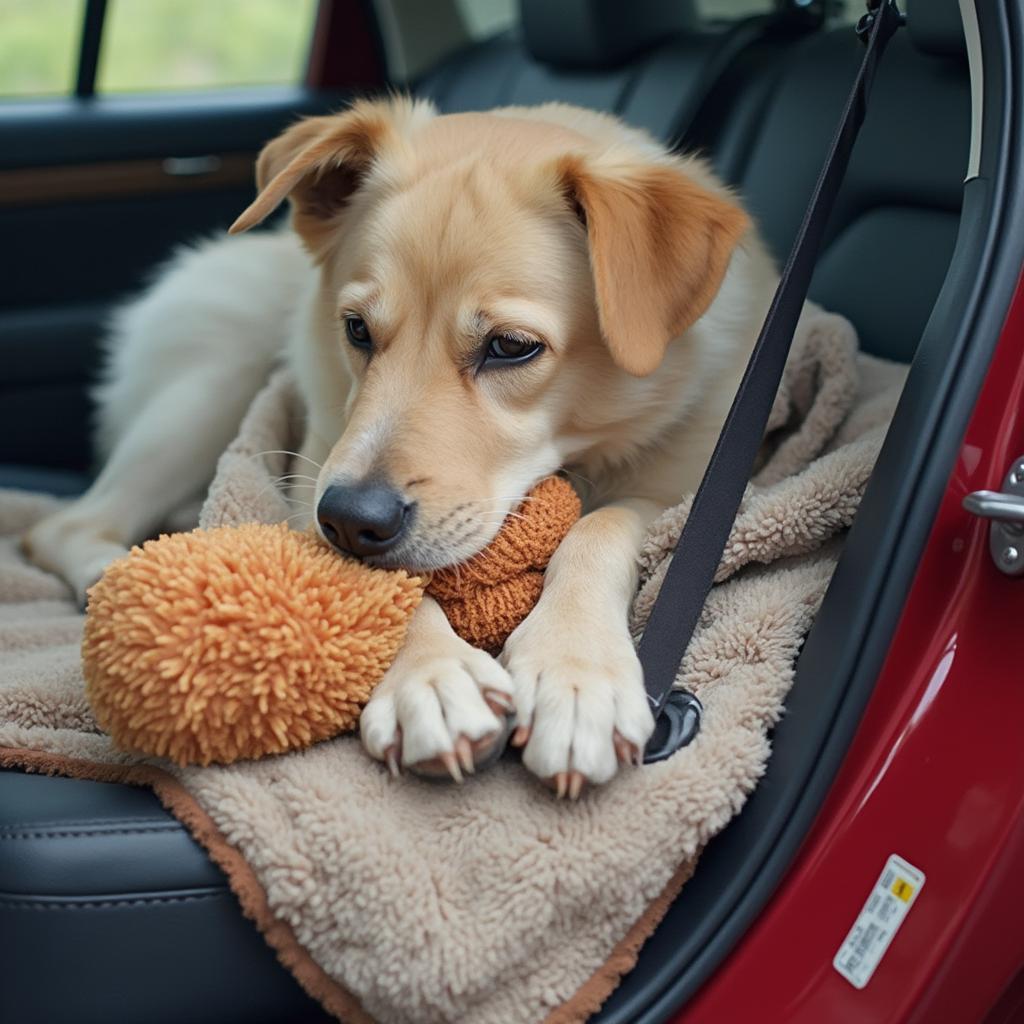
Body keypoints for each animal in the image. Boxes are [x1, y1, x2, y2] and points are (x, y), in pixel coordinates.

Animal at [24, 96, 774, 794]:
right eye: (356, 329)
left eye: (511, 347)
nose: (352, 520)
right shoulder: (315, 472)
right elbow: (375, 585)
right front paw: (431, 678)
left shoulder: (698, 490)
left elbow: (602, 527)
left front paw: (574, 670)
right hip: (210, 388)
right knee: (65, 525)